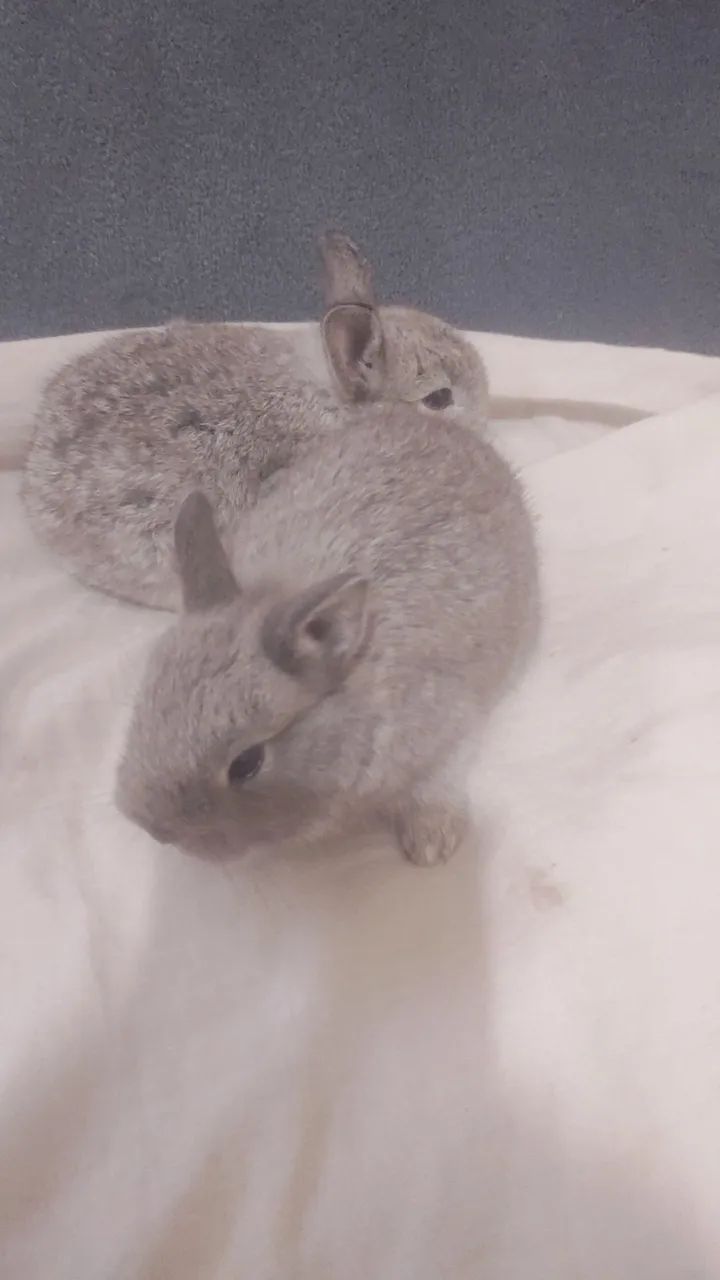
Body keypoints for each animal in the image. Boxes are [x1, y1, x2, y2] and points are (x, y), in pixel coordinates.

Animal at [115, 402, 538, 866]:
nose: (156, 829)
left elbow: (437, 782)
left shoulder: (449, 731)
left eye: (247, 763)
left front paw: (431, 845)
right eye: (145, 705)